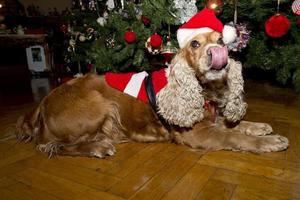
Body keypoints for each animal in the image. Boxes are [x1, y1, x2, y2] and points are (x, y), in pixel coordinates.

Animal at [14, 8, 288, 158]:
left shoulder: (207, 119)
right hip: (98, 104)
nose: (215, 53)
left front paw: (259, 126)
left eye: (221, 40)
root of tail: (42, 105)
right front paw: (269, 141)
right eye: (195, 44)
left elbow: (234, 126)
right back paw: (98, 147)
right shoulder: (197, 133)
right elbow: (232, 136)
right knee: (51, 146)